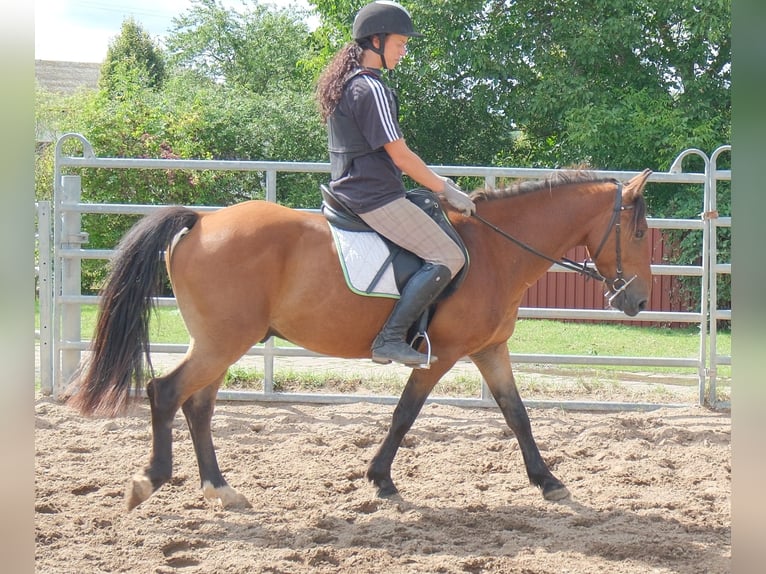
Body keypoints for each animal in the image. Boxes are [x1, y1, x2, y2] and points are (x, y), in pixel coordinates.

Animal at [67, 168, 653, 511]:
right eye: (641, 232)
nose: (638, 301)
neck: (495, 251)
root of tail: (202, 222)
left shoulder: (490, 349)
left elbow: (517, 414)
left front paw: (548, 481)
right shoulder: (440, 355)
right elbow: (405, 415)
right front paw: (381, 481)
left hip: (222, 343)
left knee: (199, 405)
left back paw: (220, 487)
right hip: (221, 342)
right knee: (166, 393)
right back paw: (150, 480)